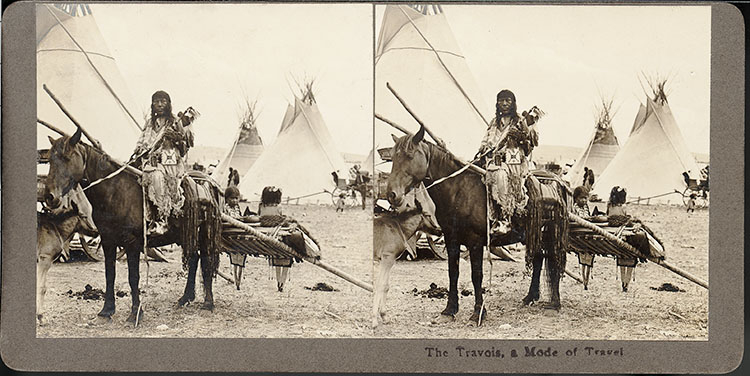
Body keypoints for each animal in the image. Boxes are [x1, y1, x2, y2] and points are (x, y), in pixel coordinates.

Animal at [42, 129, 223, 324]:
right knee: (194, 258)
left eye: (67, 157)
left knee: (205, 260)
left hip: (204, 232)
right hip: (185, 234)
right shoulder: (108, 240)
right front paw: (107, 310)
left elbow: (133, 277)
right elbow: (110, 274)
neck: (115, 191)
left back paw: (208, 303)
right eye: (50, 160)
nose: (50, 197)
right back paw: (185, 298)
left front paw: (136, 312)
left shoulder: (132, 243)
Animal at [374, 184, 444, 328]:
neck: (398, 228)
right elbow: (381, 285)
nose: (440, 231)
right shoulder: (387, 259)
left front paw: (384, 316)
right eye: (428, 215)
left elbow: (386, 286)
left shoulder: (388, 261)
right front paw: (375, 319)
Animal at [388, 127, 568, 324]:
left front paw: (478, 312)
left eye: (409, 155)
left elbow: (477, 276)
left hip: (549, 233)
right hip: (533, 234)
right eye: (394, 157)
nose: (391, 194)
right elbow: (453, 272)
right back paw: (530, 297)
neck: (459, 190)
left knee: (553, 260)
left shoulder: (475, 242)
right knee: (538, 258)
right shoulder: (451, 240)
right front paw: (450, 309)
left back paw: (555, 304)